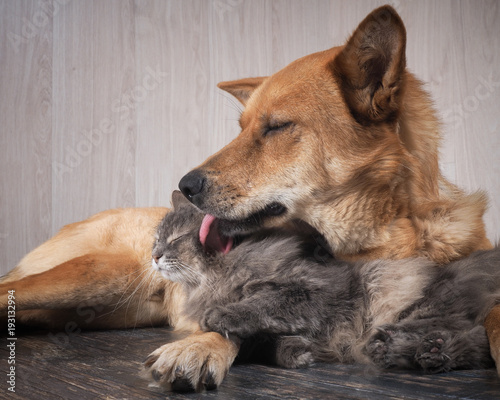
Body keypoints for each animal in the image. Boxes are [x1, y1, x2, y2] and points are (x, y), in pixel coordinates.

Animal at [152, 191, 496, 372]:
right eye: (156, 238)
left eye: (176, 240)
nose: (154, 255)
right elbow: (273, 343)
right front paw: (298, 352)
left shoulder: (311, 290)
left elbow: (262, 305)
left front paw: (223, 314)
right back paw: (426, 354)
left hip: (412, 307)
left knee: (468, 335)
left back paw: (407, 349)